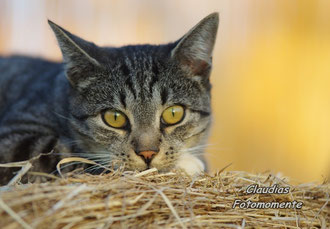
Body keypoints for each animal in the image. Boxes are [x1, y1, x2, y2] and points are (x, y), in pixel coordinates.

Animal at [0, 12, 219, 184]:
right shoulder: (14, 143)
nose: (147, 153)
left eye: (173, 114)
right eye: (114, 118)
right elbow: (77, 157)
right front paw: (189, 163)